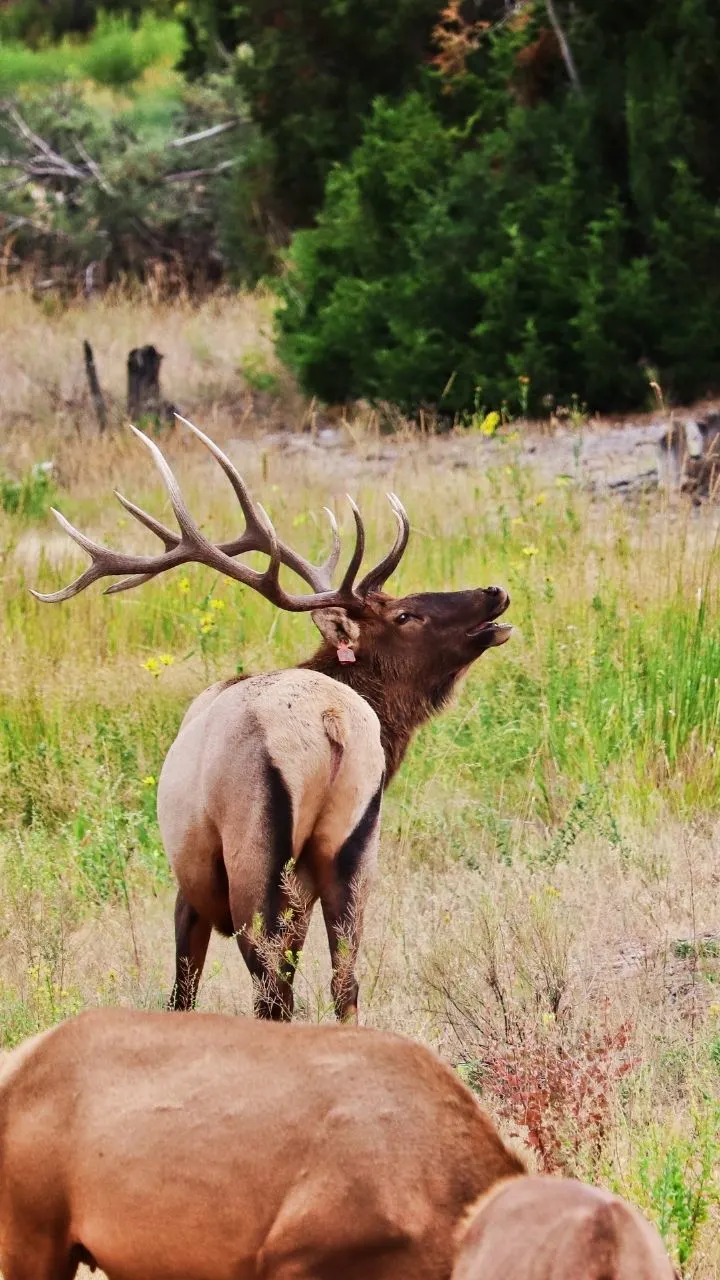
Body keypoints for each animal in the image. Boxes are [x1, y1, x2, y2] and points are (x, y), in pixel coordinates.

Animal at [30, 419, 507, 1018]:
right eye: (406, 613)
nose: (495, 590)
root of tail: (331, 720)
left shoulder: (191, 883)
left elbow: (182, 990)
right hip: (354, 845)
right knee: (344, 978)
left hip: (253, 849)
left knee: (273, 988)